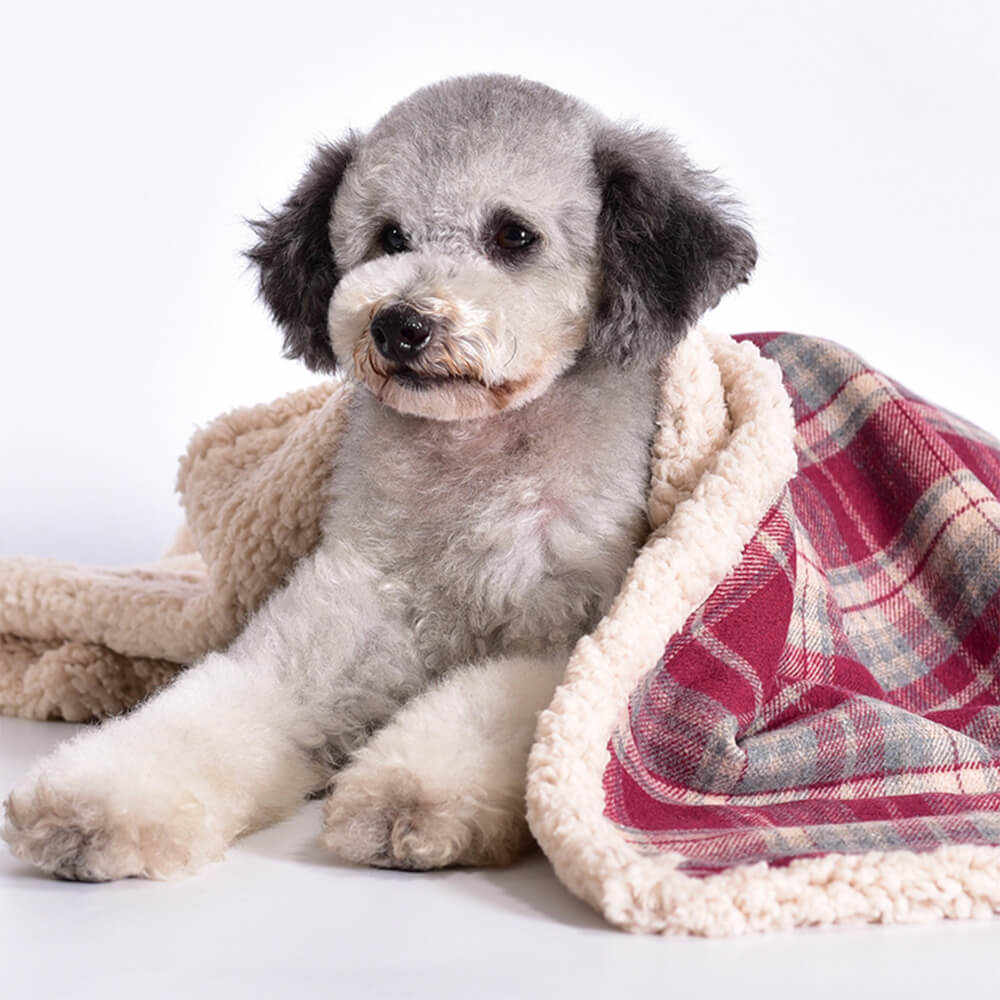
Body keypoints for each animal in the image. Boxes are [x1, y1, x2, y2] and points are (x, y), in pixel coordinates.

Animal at [0, 74, 752, 880]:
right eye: (390, 237)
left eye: (514, 236)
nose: (400, 324)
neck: (472, 463)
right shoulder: (334, 624)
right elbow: (211, 710)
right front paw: (94, 806)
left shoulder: (572, 638)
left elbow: (490, 706)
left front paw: (412, 797)